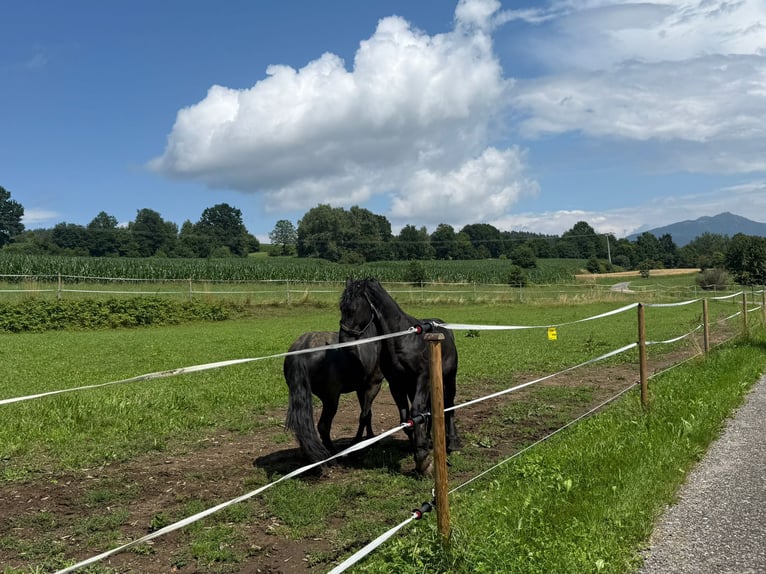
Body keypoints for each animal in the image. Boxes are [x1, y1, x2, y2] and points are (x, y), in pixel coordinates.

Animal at [284, 329, 384, 463]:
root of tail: (303, 348)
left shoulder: (361, 389)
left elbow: (368, 415)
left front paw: (370, 438)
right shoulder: (373, 385)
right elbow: (364, 416)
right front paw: (357, 444)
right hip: (331, 400)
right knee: (323, 426)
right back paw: (333, 455)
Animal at [338, 278, 460, 475]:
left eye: (354, 308)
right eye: (341, 307)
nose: (343, 342)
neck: (402, 339)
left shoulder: (422, 379)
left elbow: (417, 412)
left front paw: (423, 460)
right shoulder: (397, 385)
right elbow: (406, 419)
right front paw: (419, 448)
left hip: (449, 379)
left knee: (449, 407)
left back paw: (453, 443)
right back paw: (429, 439)